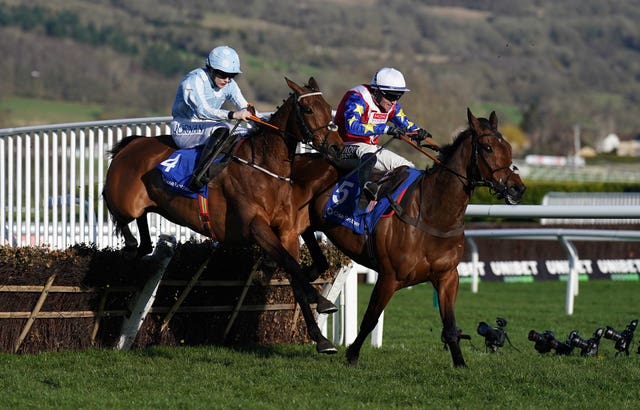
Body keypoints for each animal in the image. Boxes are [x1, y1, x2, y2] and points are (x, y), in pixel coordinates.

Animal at [104, 78, 344, 354]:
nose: (337, 147)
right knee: (119, 214)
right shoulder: (255, 228)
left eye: (327, 107)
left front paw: (321, 338)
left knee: (142, 228)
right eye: (308, 110)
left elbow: (295, 275)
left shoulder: (287, 231)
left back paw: (142, 246)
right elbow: (291, 265)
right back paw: (132, 247)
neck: (265, 168)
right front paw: (322, 301)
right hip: (124, 202)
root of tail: (132, 143)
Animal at [292, 108, 528, 366]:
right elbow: (370, 318)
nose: (517, 188)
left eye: (508, 147)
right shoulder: (389, 277)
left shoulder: (447, 277)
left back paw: (315, 271)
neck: (431, 215)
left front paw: (460, 362)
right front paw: (352, 354)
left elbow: (450, 326)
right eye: (487, 148)